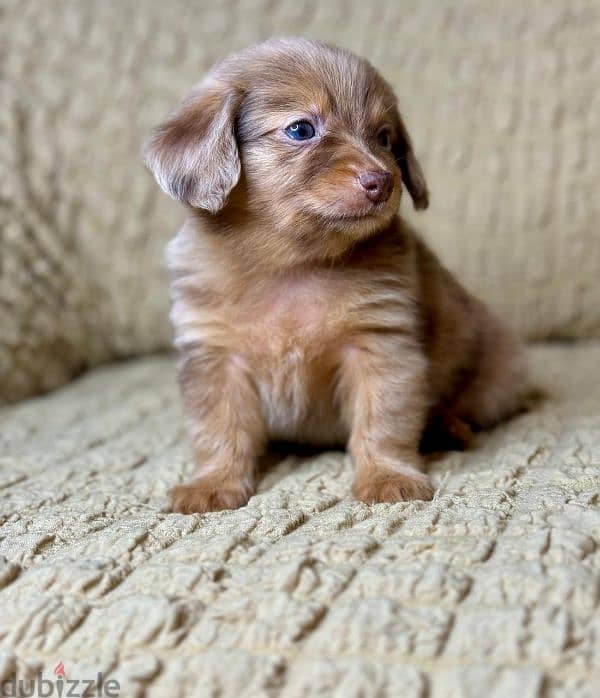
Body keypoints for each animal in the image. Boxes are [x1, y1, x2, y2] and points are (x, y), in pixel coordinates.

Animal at [144, 36, 524, 512]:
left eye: (384, 137)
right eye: (301, 130)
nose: (382, 181)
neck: (292, 262)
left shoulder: (378, 346)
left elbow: (383, 421)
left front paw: (387, 475)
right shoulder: (216, 358)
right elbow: (218, 427)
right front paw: (213, 482)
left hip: (497, 378)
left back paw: (447, 427)